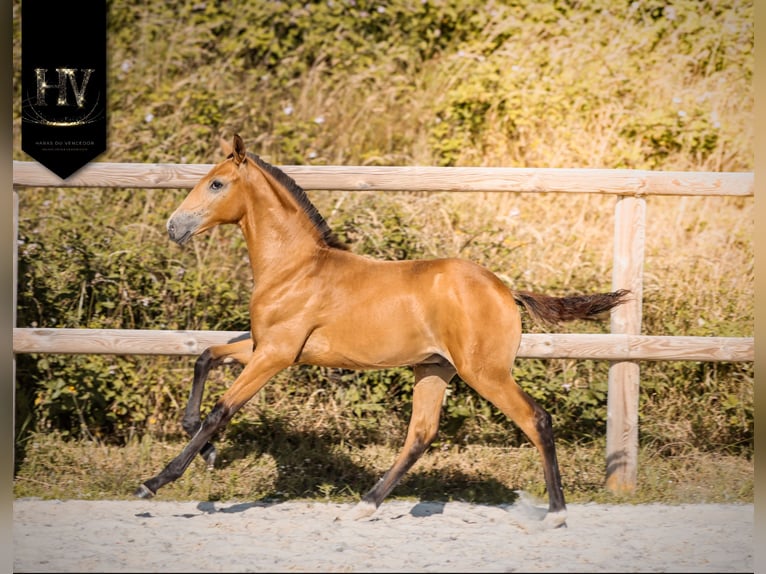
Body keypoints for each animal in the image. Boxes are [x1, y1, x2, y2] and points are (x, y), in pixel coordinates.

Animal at [135, 134, 630, 528]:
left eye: (217, 183)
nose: (174, 226)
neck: (295, 268)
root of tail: (506, 290)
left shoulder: (276, 354)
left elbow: (222, 410)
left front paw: (157, 481)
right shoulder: (266, 347)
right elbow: (205, 357)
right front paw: (205, 449)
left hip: (484, 372)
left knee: (536, 420)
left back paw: (556, 514)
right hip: (434, 369)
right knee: (420, 435)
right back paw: (365, 505)